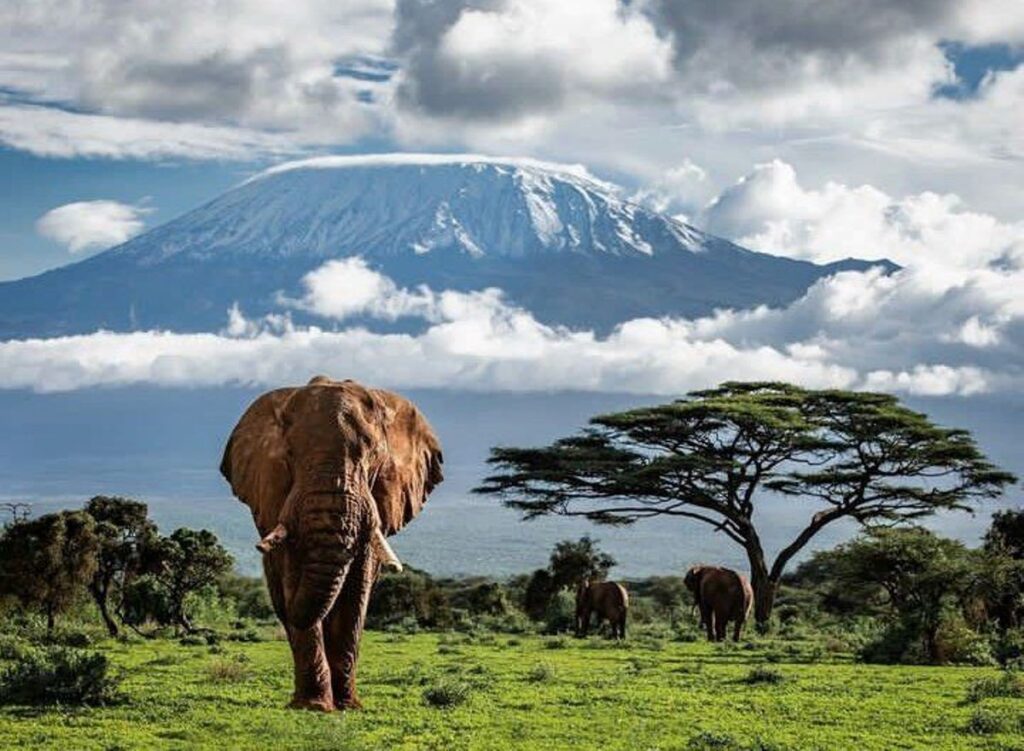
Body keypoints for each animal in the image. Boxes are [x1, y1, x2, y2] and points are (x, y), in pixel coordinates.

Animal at [220, 376, 443, 712]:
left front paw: (348, 706)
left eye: (373, 457)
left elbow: (357, 590)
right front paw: (314, 706)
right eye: (290, 455)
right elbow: (293, 575)